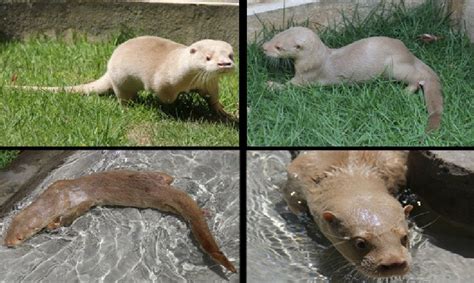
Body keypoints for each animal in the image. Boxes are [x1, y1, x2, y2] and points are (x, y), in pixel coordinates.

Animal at [262, 27, 444, 131]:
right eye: (275, 36)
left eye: (279, 47)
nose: (263, 47)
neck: (316, 60)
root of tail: (408, 54)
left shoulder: (307, 76)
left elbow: (290, 86)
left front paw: (270, 84)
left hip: (395, 67)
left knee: (418, 78)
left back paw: (406, 91)